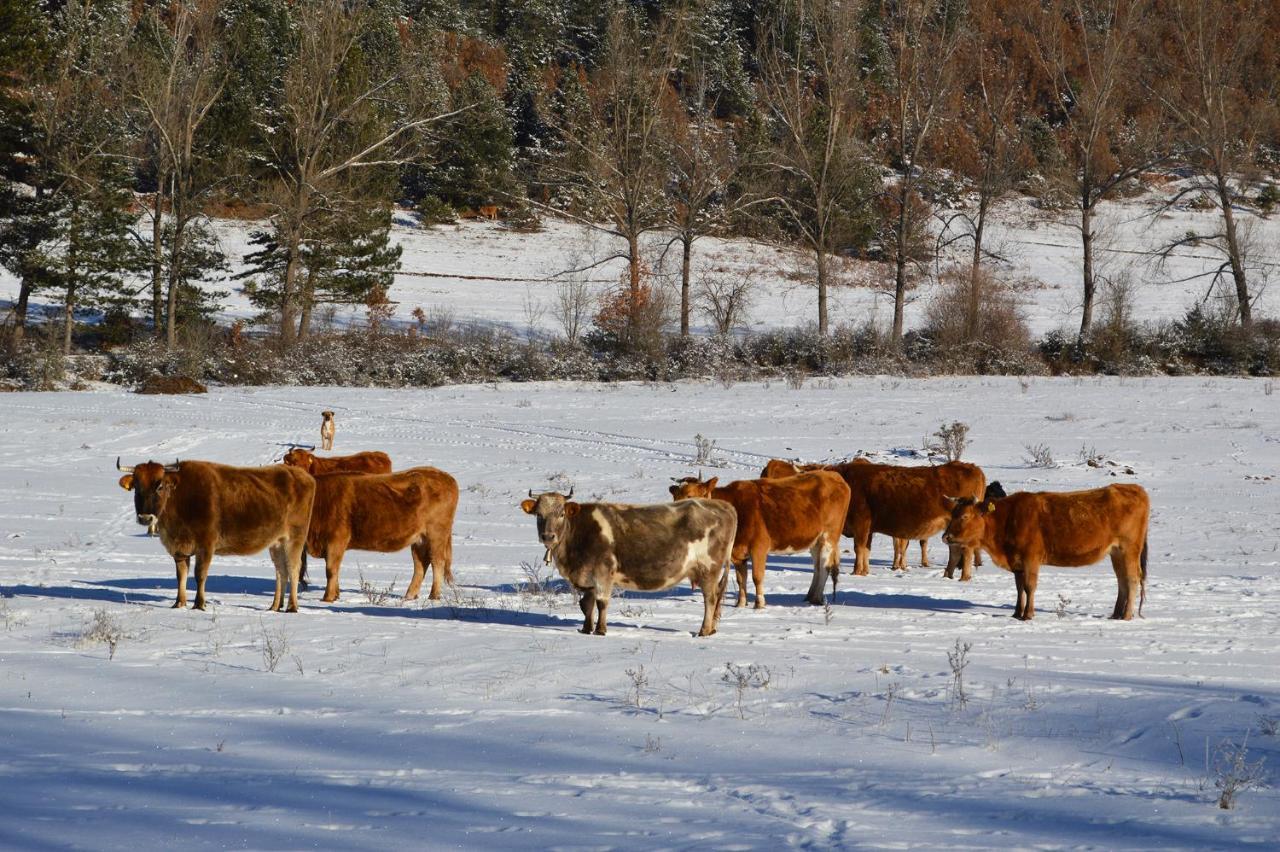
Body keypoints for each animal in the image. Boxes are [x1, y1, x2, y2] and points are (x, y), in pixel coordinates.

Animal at [116, 457, 316, 611]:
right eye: (137, 487)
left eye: (160, 486)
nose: (145, 518)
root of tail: (302, 475)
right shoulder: (179, 549)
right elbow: (181, 575)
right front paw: (179, 603)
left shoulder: (205, 545)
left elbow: (199, 574)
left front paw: (199, 604)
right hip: (276, 542)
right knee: (281, 571)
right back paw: (274, 606)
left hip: (295, 538)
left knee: (293, 569)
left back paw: (292, 607)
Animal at [305, 468, 460, 601]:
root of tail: (445, 476)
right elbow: (334, 569)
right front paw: (335, 595)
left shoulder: (336, 539)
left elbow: (331, 569)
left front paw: (328, 598)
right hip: (419, 539)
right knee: (421, 564)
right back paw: (409, 596)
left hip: (436, 534)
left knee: (437, 562)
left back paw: (433, 595)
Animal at [670, 470, 849, 603]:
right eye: (675, 497)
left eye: (691, 495)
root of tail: (834, 475)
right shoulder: (736, 551)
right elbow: (741, 578)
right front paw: (740, 604)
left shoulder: (759, 546)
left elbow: (757, 577)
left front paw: (759, 604)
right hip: (814, 539)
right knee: (817, 565)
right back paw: (809, 596)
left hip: (829, 536)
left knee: (824, 565)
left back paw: (816, 598)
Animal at [757, 457, 988, 578]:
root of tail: (972, 467)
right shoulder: (867, 528)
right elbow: (866, 550)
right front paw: (864, 570)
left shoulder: (861, 522)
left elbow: (859, 548)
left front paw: (857, 572)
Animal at [942, 483, 1152, 616]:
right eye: (953, 514)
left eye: (965, 516)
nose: (946, 537)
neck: (1008, 519)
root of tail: (1134, 488)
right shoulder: (1017, 562)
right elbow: (1019, 588)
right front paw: (1016, 613)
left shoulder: (1031, 558)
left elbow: (1029, 586)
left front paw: (1028, 615)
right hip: (1116, 552)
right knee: (1122, 581)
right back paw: (1116, 614)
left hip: (1129, 549)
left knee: (1132, 580)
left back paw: (1126, 616)